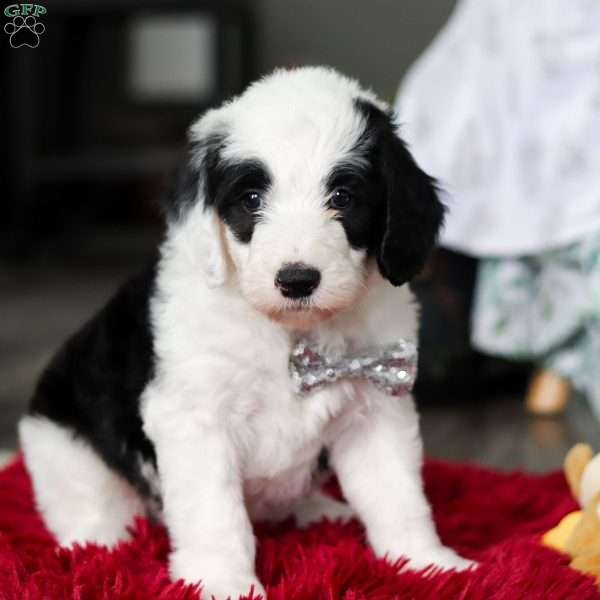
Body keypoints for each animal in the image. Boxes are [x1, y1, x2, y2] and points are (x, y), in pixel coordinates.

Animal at [19, 68, 474, 596]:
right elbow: (215, 514)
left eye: (343, 198)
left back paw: (322, 511)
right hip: (61, 438)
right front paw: (223, 583)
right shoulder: (196, 418)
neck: (291, 334)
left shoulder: (377, 404)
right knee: (88, 500)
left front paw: (427, 563)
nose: (297, 279)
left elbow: (397, 491)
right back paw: (98, 547)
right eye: (251, 199)